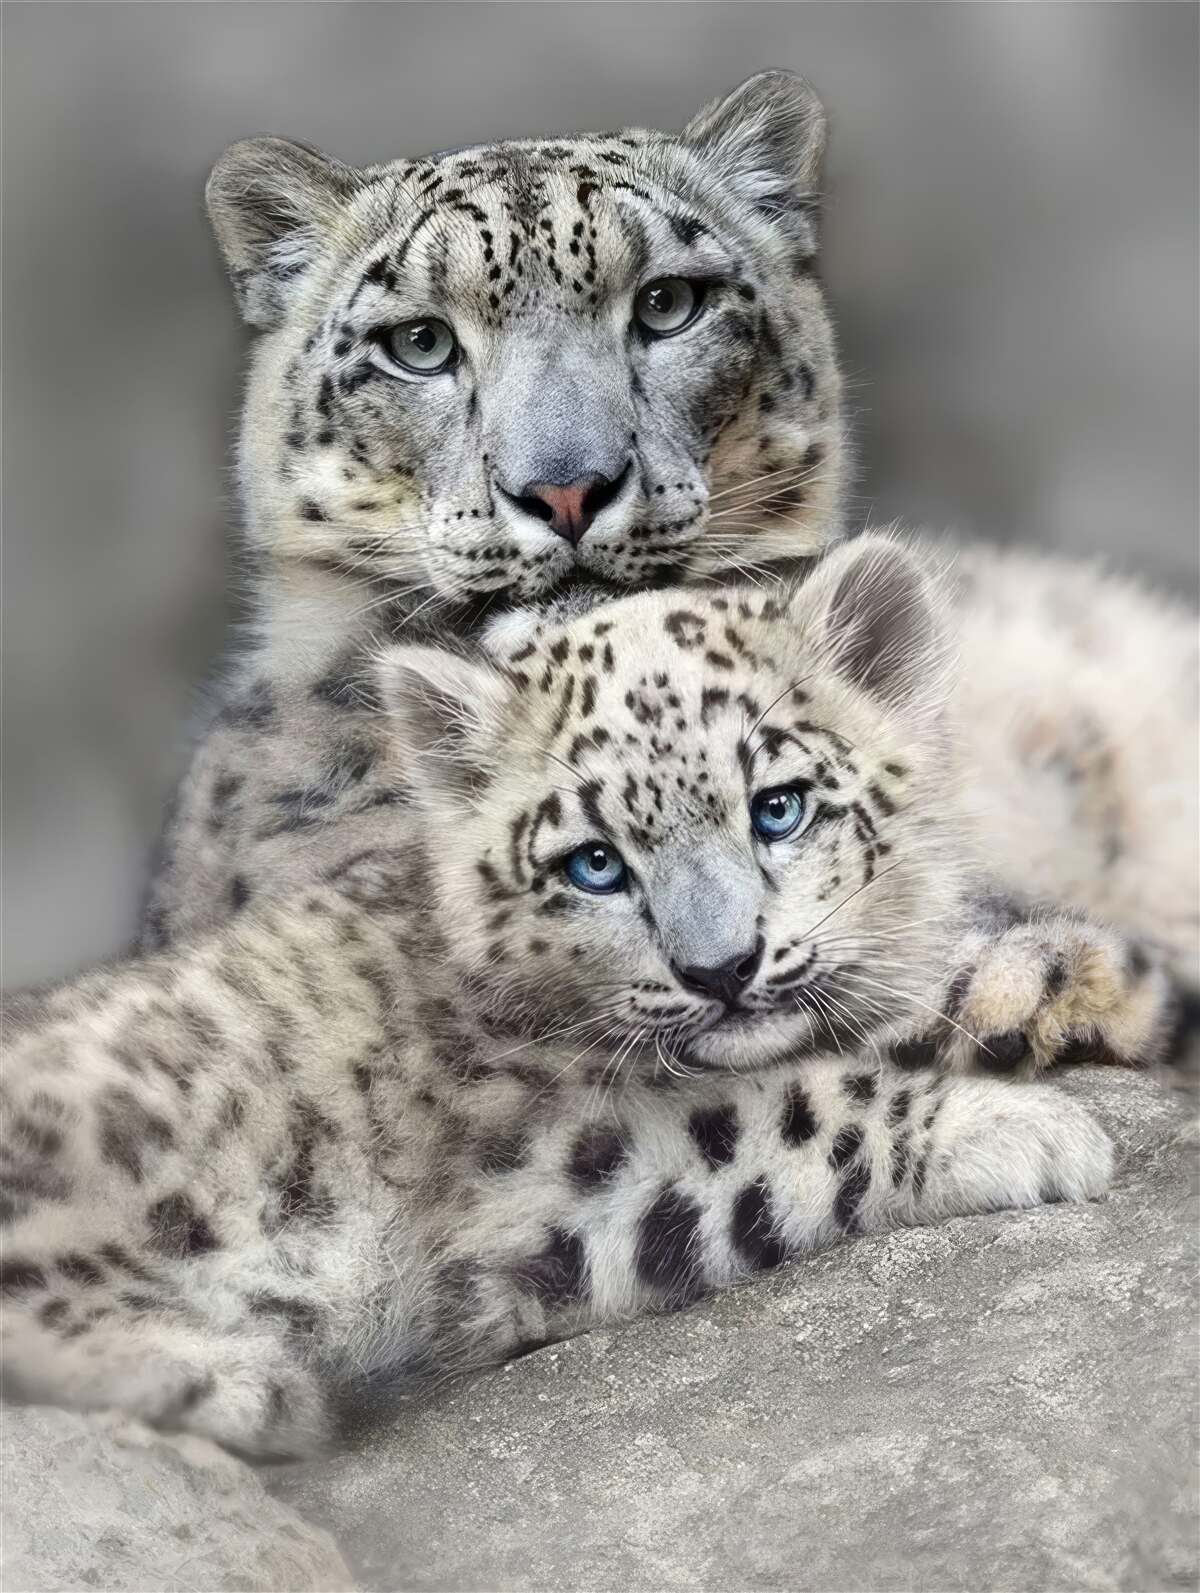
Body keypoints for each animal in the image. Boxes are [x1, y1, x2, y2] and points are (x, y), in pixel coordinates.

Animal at [2, 537, 1179, 1459]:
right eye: (595, 863)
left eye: (780, 805)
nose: (721, 967)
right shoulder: (550, 1167)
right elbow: (797, 1114)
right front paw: (1029, 1131)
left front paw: (1052, 991)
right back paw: (238, 1378)